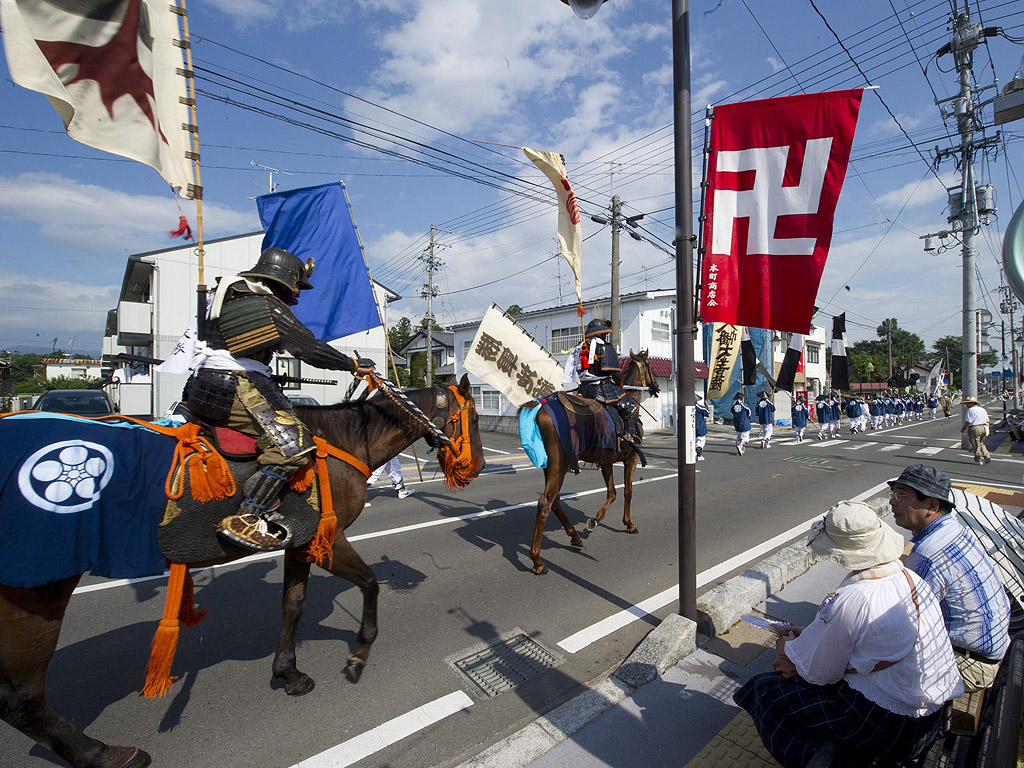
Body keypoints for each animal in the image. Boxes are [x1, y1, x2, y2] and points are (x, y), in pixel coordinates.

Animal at [0, 376, 483, 768]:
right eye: (475, 417)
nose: (476, 466)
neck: (344, 442)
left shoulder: (298, 542)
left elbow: (293, 604)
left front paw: (288, 673)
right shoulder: (324, 538)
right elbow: (368, 583)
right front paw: (359, 653)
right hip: (37, 588)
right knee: (21, 698)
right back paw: (103, 754)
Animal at [524, 352, 659, 573]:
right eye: (651, 367)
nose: (656, 387)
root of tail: (541, 411)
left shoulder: (607, 462)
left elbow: (612, 493)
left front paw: (595, 520)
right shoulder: (631, 458)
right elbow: (628, 492)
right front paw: (628, 524)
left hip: (550, 467)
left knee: (555, 501)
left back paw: (575, 537)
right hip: (560, 466)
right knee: (545, 503)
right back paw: (537, 561)